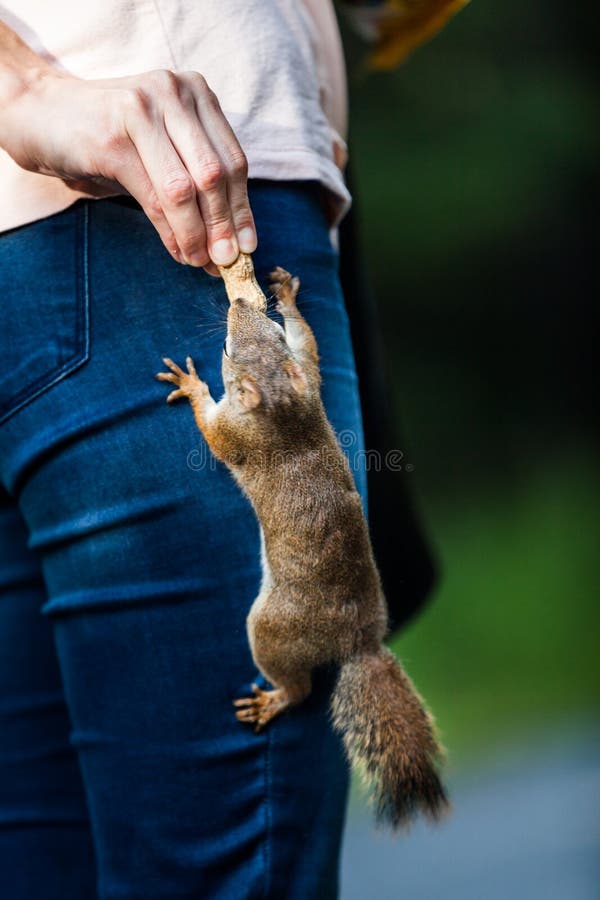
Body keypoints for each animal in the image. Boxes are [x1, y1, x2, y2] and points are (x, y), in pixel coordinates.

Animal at [157, 262, 448, 828]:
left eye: (227, 349)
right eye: (269, 333)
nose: (240, 305)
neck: (285, 409)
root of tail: (357, 642)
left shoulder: (239, 436)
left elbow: (213, 430)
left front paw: (191, 383)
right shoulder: (308, 381)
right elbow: (308, 348)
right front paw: (287, 296)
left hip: (270, 630)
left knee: (300, 687)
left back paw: (273, 701)